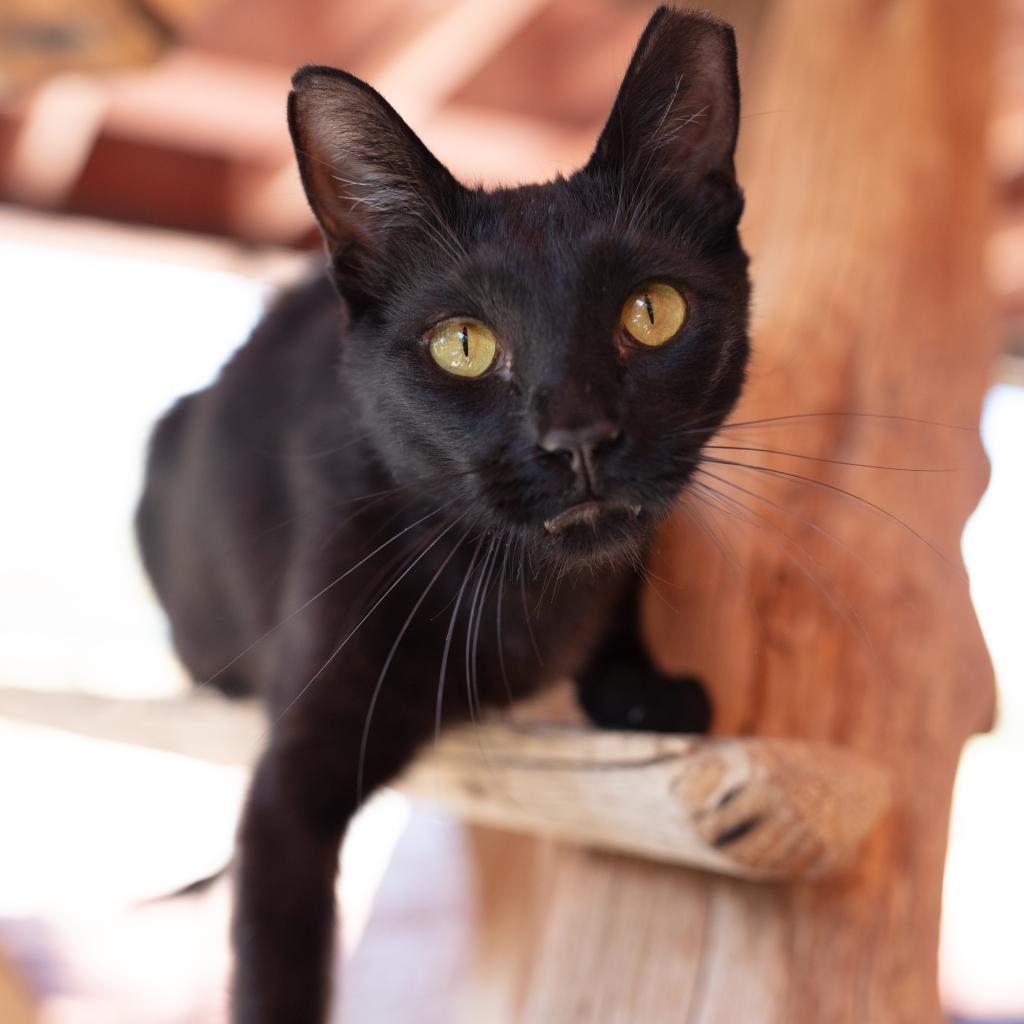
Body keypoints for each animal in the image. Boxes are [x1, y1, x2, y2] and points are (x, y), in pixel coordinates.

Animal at [134, 6, 753, 1015]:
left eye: (652, 312)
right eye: (463, 345)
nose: (578, 436)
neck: (522, 593)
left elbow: (622, 614)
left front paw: (646, 686)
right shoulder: (289, 782)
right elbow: (274, 962)